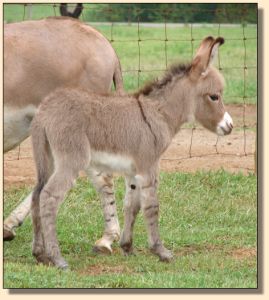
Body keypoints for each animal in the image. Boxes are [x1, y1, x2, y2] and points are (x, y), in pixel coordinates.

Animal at [30, 36, 232, 268]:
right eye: (214, 96)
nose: (230, 126)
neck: (160, 114)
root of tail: (45, 111)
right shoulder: (149, 166)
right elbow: (151, 207)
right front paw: (161, 251)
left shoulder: (133, 171)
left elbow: (131, 206)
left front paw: (127, 247)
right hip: (71, 160)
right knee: (49, 197)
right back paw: (57, 258)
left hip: (48, 158)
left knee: (37, 194)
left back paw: (40, 254)